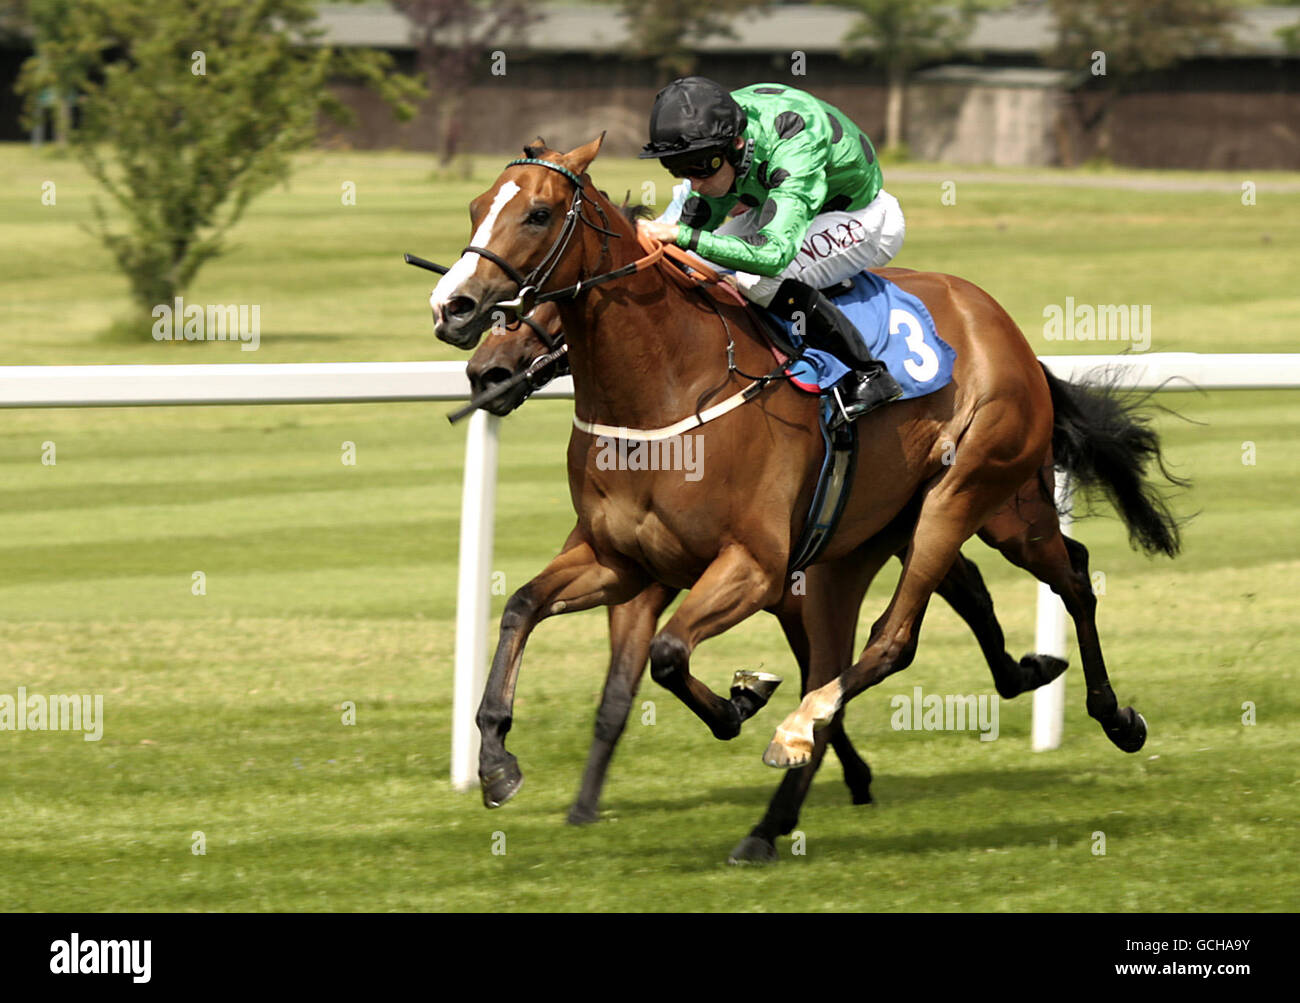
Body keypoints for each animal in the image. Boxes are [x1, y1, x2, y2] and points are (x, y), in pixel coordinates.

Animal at [431, 135, 1185, 862]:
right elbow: (522, 607)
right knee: (1029, 581)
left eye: (537, 214)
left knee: (906, 634)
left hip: (970, 493)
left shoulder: (754, 566)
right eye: (475, 207)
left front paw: (741, 703)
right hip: (897, 539)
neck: (668, 392)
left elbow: (669, 653)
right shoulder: (621, 561)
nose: (457, 315)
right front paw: (496, 761)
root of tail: (1008, 333)